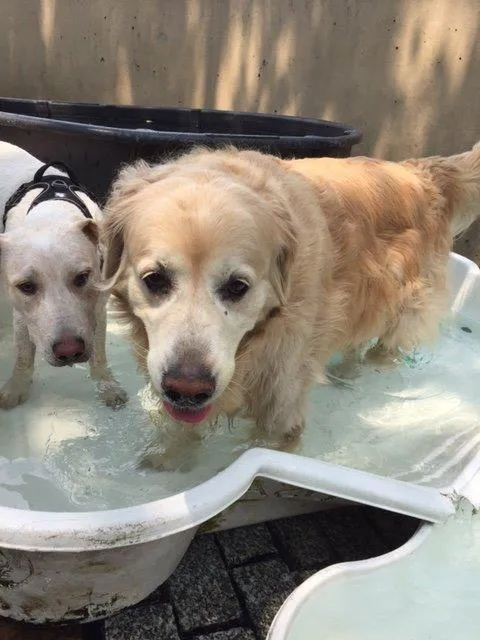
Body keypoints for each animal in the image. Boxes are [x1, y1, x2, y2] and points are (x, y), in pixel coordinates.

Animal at [0, 140, 126, 410]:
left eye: (82, 277)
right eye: (27, 286)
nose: (69, 351)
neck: (51, 215)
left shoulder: (98, 310)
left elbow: (99, 354)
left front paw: (106, 385)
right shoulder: (21, 316)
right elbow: (23, 355)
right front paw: (17, 386)